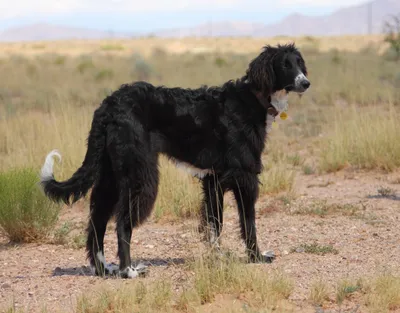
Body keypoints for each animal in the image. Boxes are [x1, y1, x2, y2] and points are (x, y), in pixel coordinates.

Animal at [39, 42, 310, 278]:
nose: (306, 83)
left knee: (97, 222)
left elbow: (216, 224)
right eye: (285, 65)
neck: (252, 98)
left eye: (299, 62)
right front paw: (256, 257)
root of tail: (109, 105)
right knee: (122, 222)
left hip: (110, 175)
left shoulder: (213, 179)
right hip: (140, 174)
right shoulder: (245, 176)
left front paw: (218, 257)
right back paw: (129, 271)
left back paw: (104, 269)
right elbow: (249, 222)